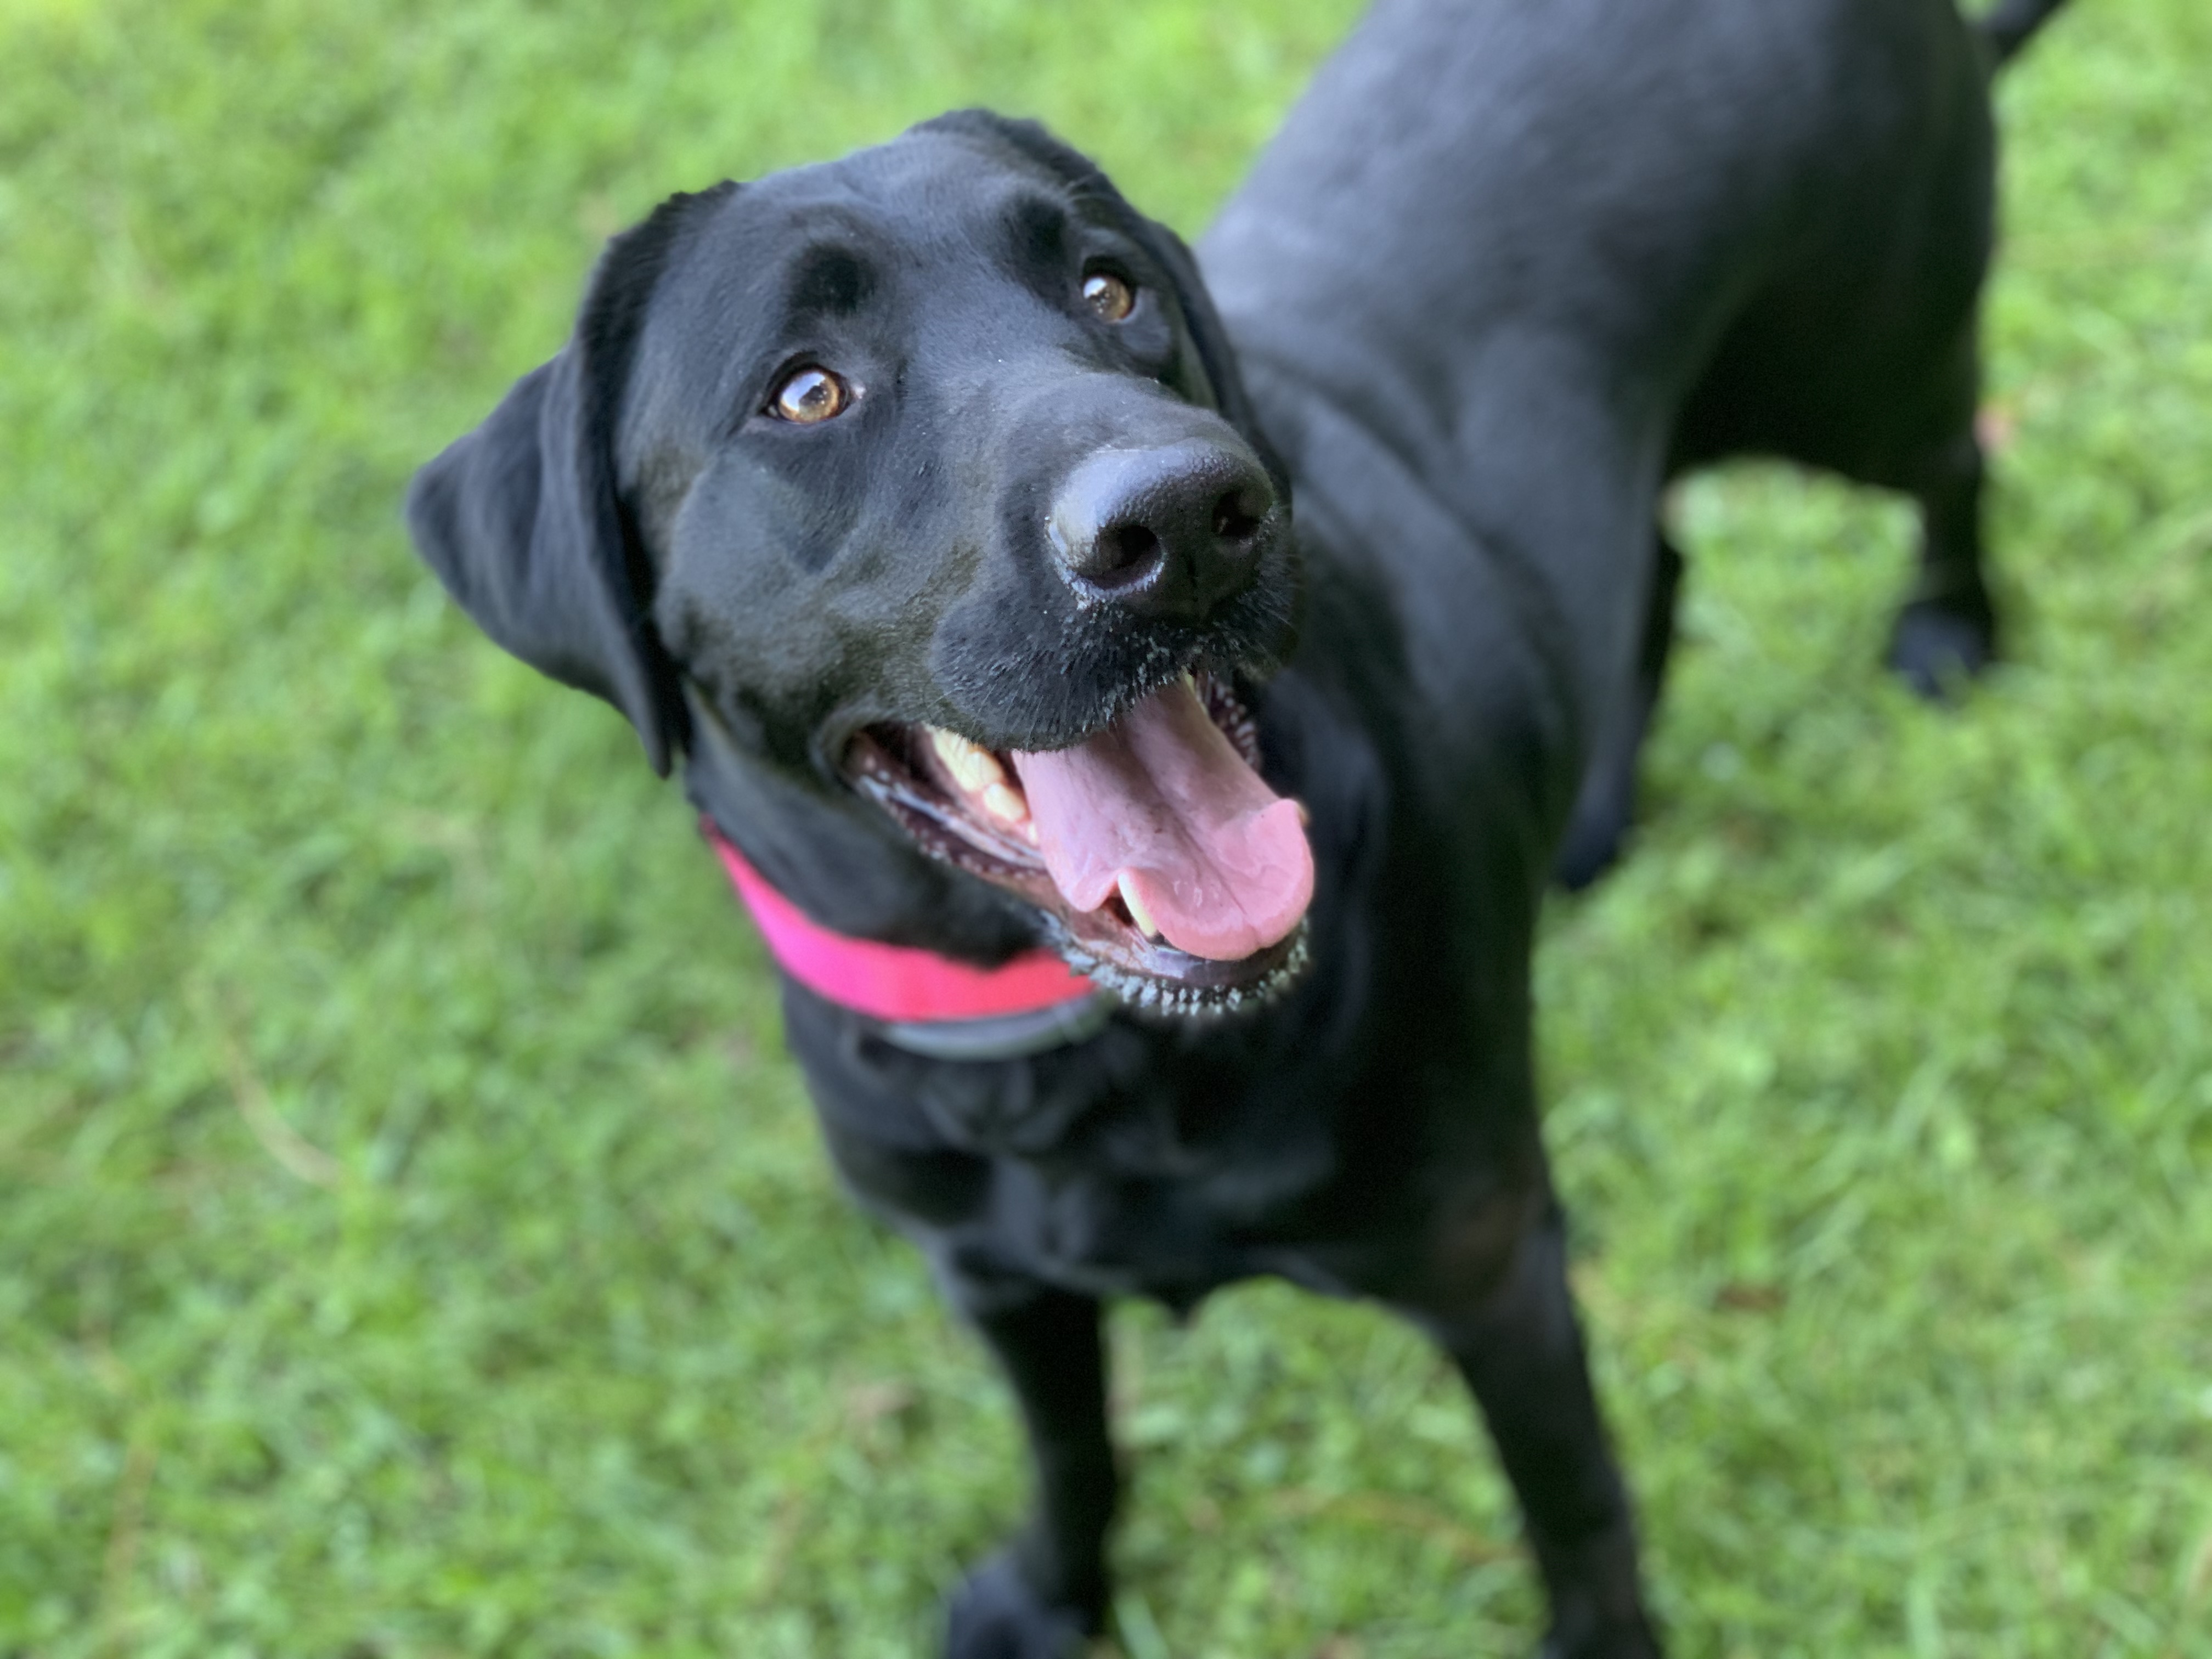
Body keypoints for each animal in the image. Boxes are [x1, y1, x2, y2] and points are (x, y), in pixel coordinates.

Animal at [411, 6, 2070, 1654]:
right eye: (806, 392)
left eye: (1110, 285)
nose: (1187, 516)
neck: (1071, 1056)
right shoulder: (996, 1282)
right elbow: (1071, 1448)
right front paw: (1051, 1595)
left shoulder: (1491, 1258)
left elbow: (1577, 1509)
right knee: (1657, 561)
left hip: (1862, 366)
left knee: (1951, 457)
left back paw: (1950, 627)